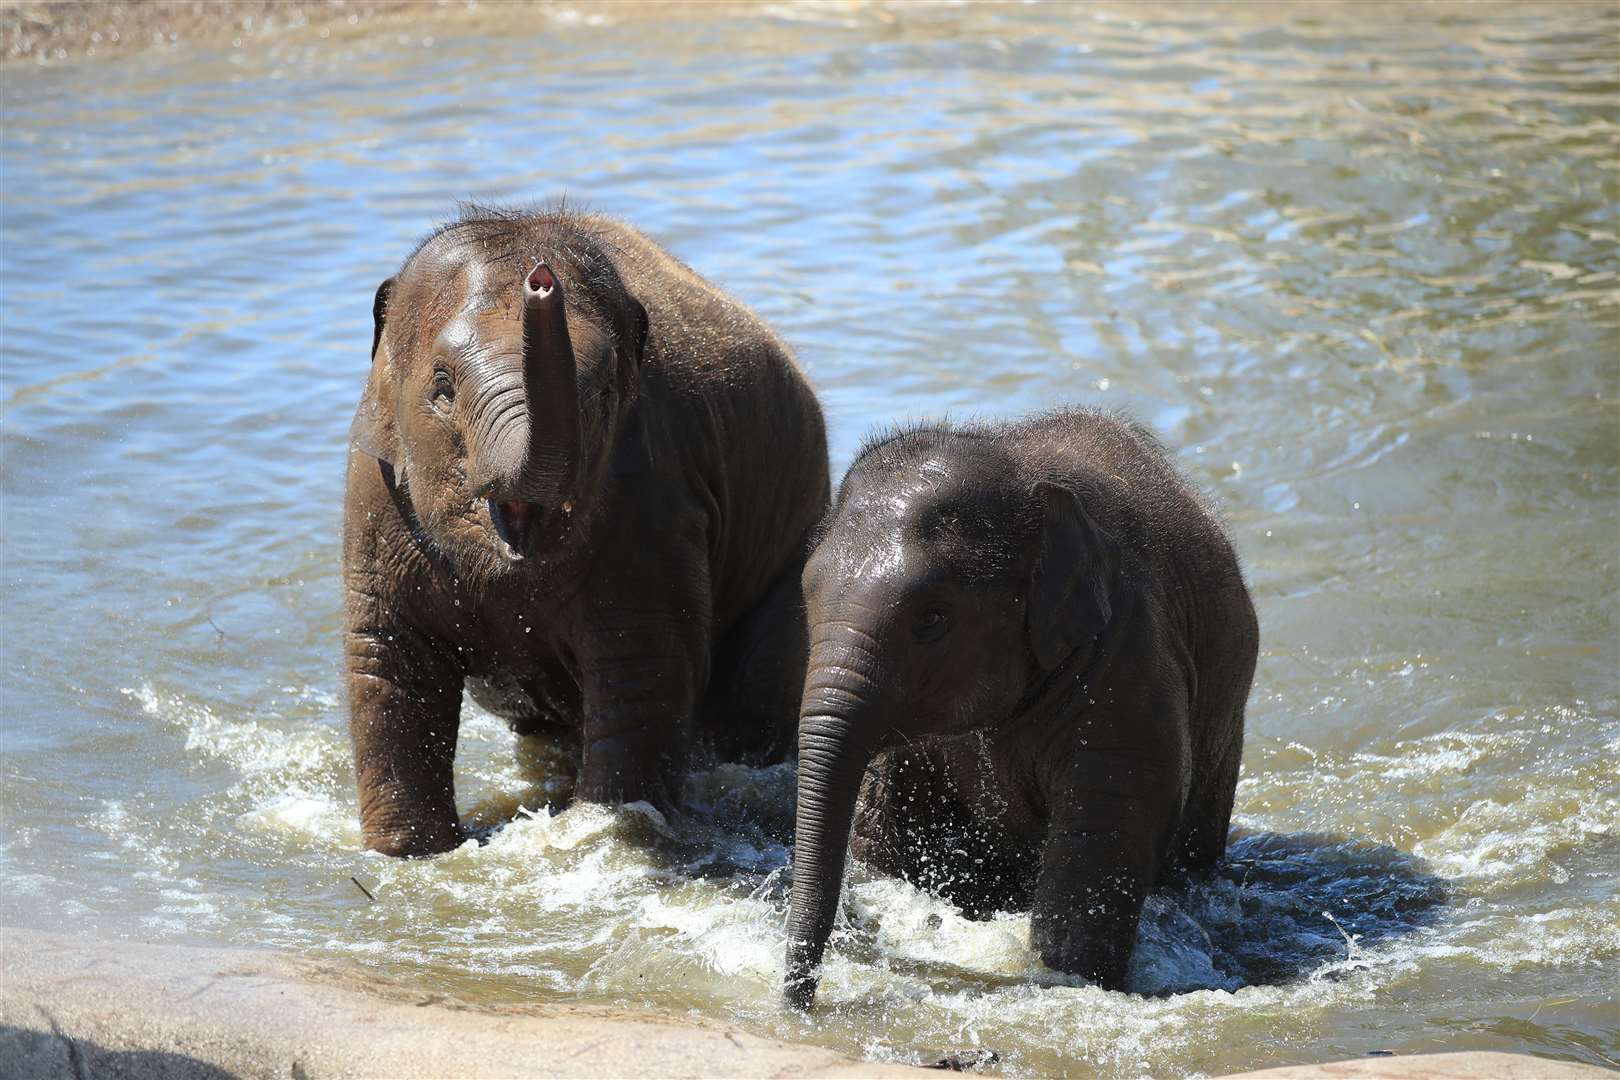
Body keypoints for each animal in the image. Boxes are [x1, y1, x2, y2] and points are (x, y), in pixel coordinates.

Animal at [338, 207, 822, 854]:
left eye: (603, 391)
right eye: (442, 384)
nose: (541, 281)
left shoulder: (656, 497)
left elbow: (643, 667)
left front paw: (610, 829)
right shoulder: (375, 495)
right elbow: (388, 665)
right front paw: (406, 853)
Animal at [777, 409, 1257, 1010]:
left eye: (931, 619)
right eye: (806, 598)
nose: (796, 1005)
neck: (1022, 476)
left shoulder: (1128, 658)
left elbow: (1103, 834)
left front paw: (1071, 979)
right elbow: (879, 827)